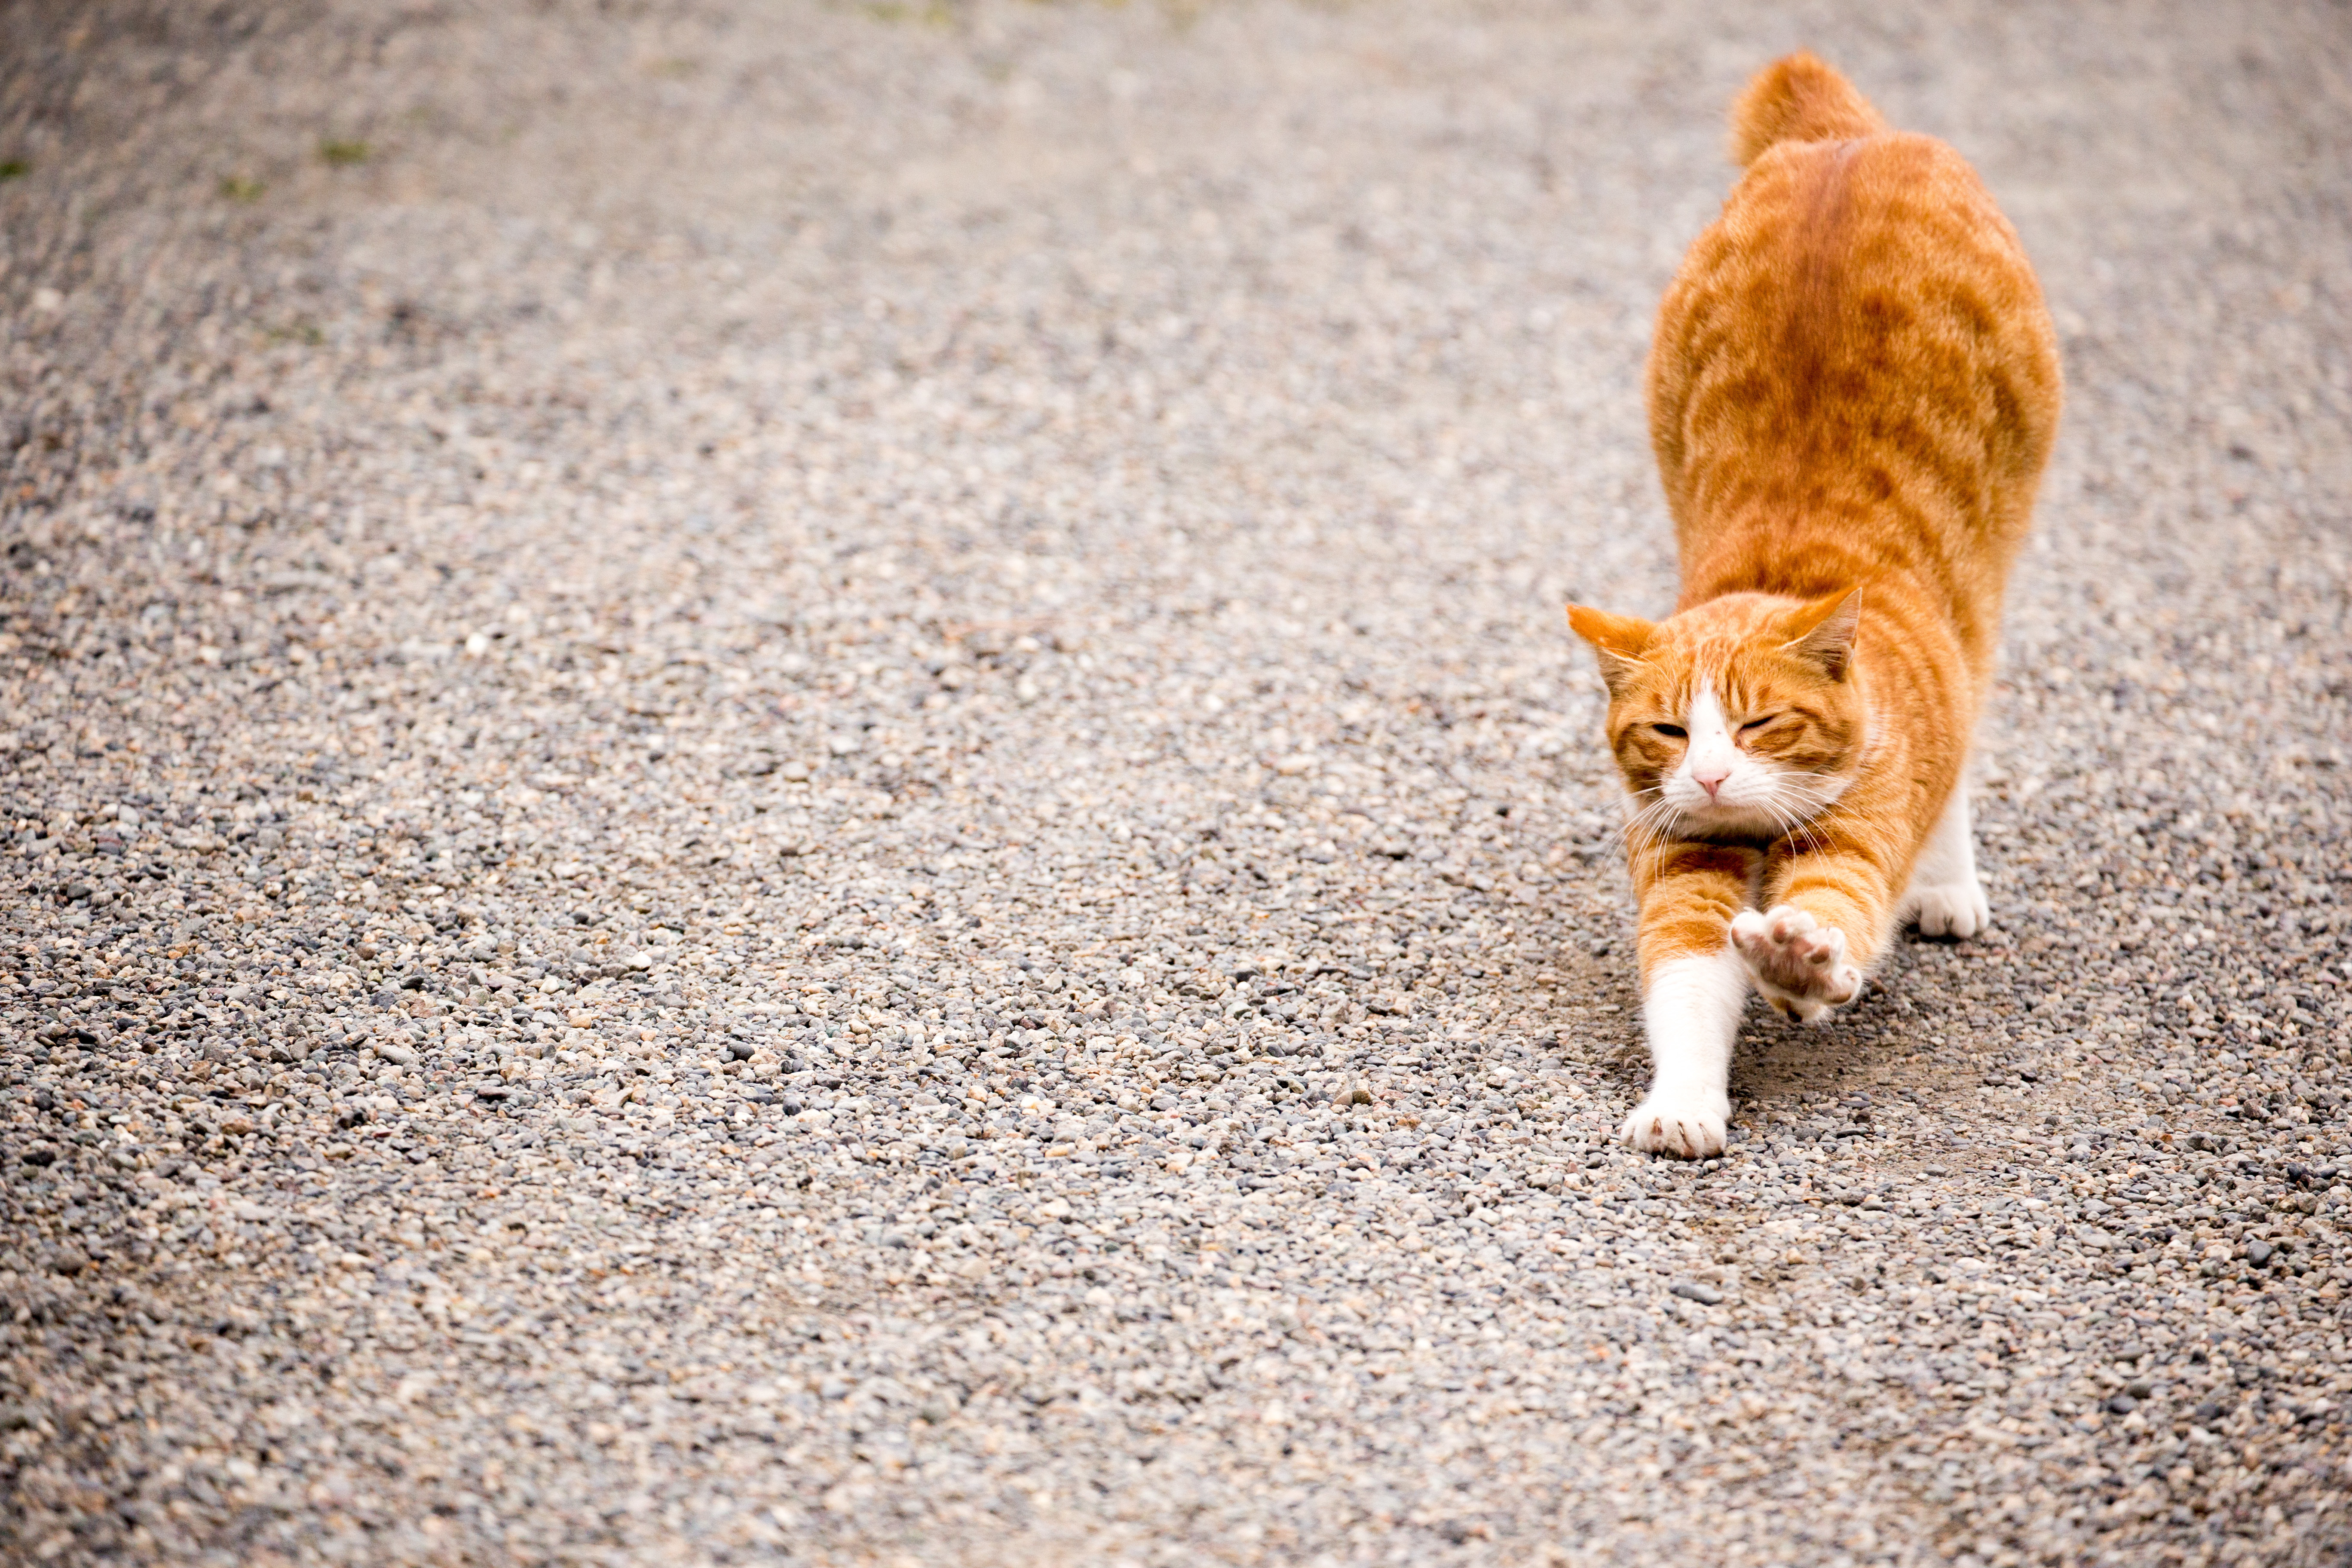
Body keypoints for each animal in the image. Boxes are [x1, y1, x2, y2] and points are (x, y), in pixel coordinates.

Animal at [1571, 55, 2070, 1152]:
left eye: (1760, 723)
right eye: (1669, 731)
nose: (1713, 776)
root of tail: (1845, 141)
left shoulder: (1858, 833)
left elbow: (1836, 910)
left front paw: (1797, 963)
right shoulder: (1680, 856)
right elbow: (1687, 980)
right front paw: (1683, 1101)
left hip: (1996, 567)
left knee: (1963, 737)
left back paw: (1946, 882)